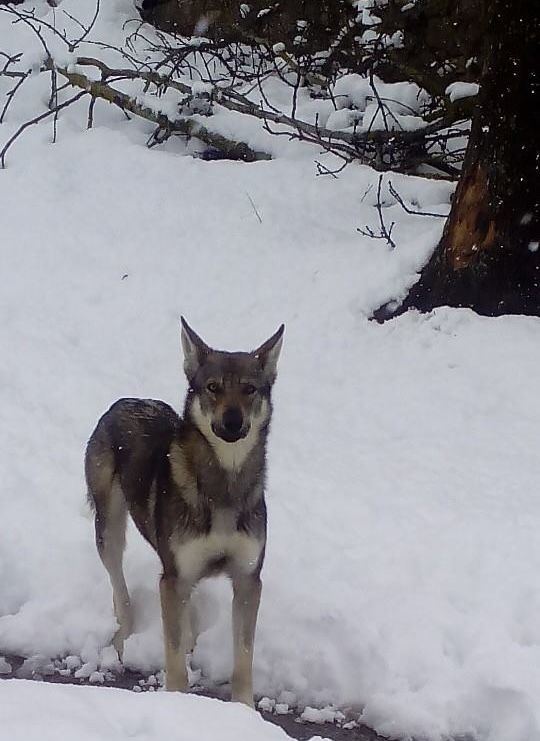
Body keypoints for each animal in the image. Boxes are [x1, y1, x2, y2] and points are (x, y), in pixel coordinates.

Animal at [85, 318, 284, 706]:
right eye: (213, 387)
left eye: (250, 389)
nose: (233, 421)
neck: (224, 486)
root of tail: (124, 401)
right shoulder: (174, 577)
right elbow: (174, 657)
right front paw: (177, 705)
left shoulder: (248, 578)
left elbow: (244, 657)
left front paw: (244, 709)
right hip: (110, 527)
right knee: (119, 585)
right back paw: (123, 636)